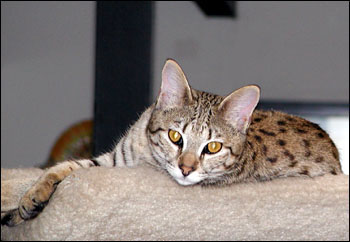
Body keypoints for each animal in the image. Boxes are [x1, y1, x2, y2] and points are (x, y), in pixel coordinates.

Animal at [2, 59, 342, 227]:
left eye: (213, 147)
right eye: (175, 137)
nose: (186, 169)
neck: (144, 153)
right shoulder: (112, 162)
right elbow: (65, 167)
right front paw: (30, 197)